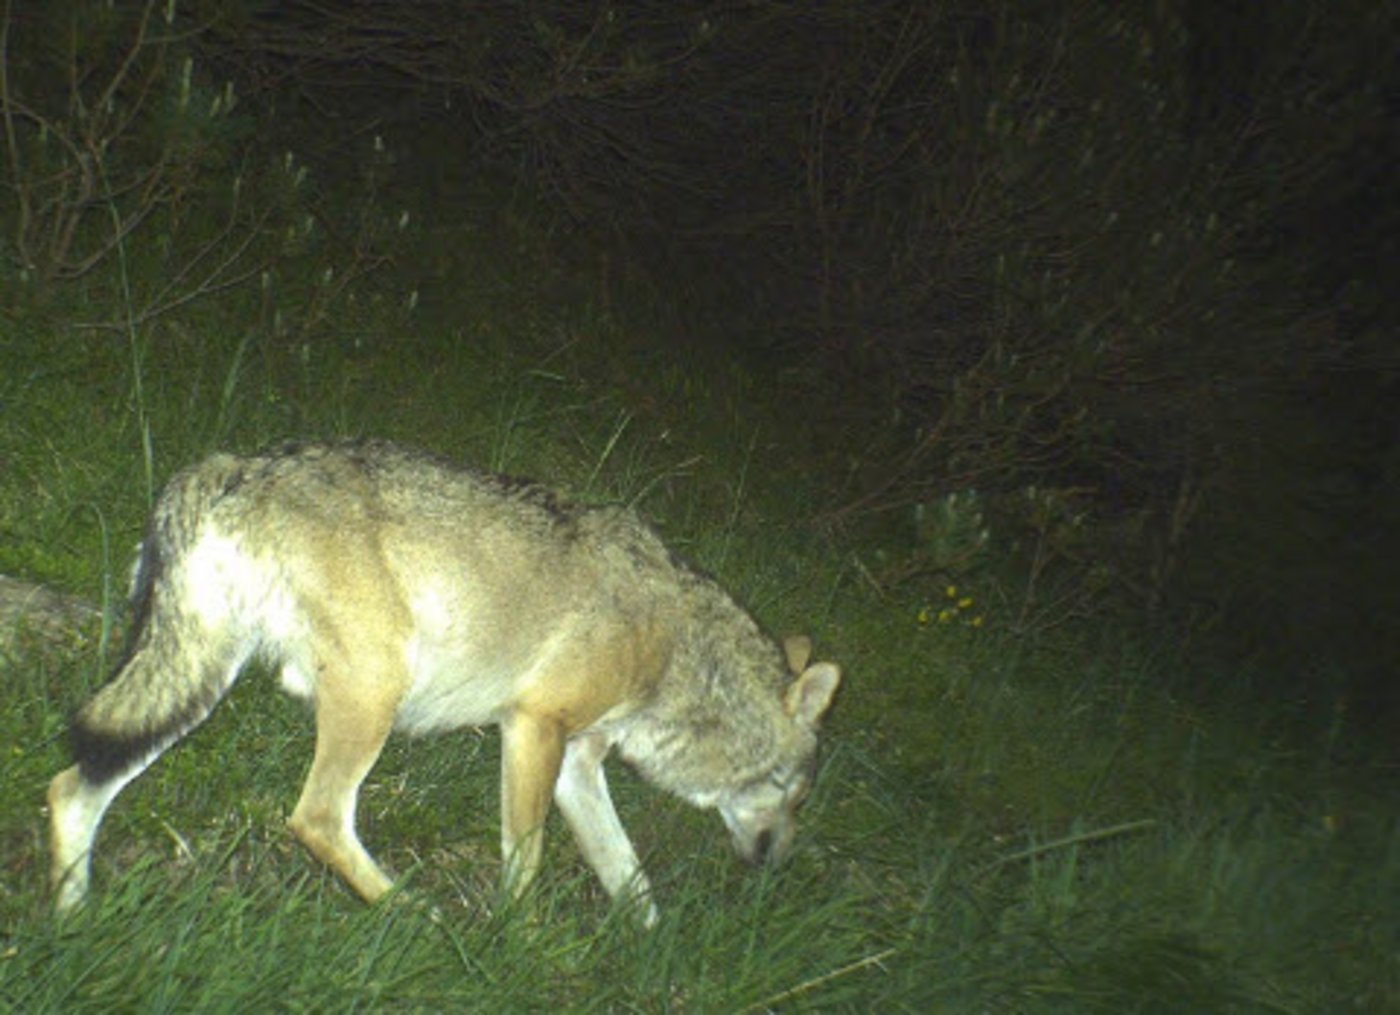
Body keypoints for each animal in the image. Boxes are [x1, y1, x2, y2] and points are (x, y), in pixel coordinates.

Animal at [47, 441, 840, 926]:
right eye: (797, 795)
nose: (779, 867)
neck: (678, 647)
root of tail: (236, 464)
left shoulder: (578, 762)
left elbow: (629, 877)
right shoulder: (535, 728)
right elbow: (527, 859)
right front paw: (518, 945)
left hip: (191, 681)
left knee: (71, 786)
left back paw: (69, 919)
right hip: (371, 690)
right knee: (316, 816)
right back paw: (413, 916)